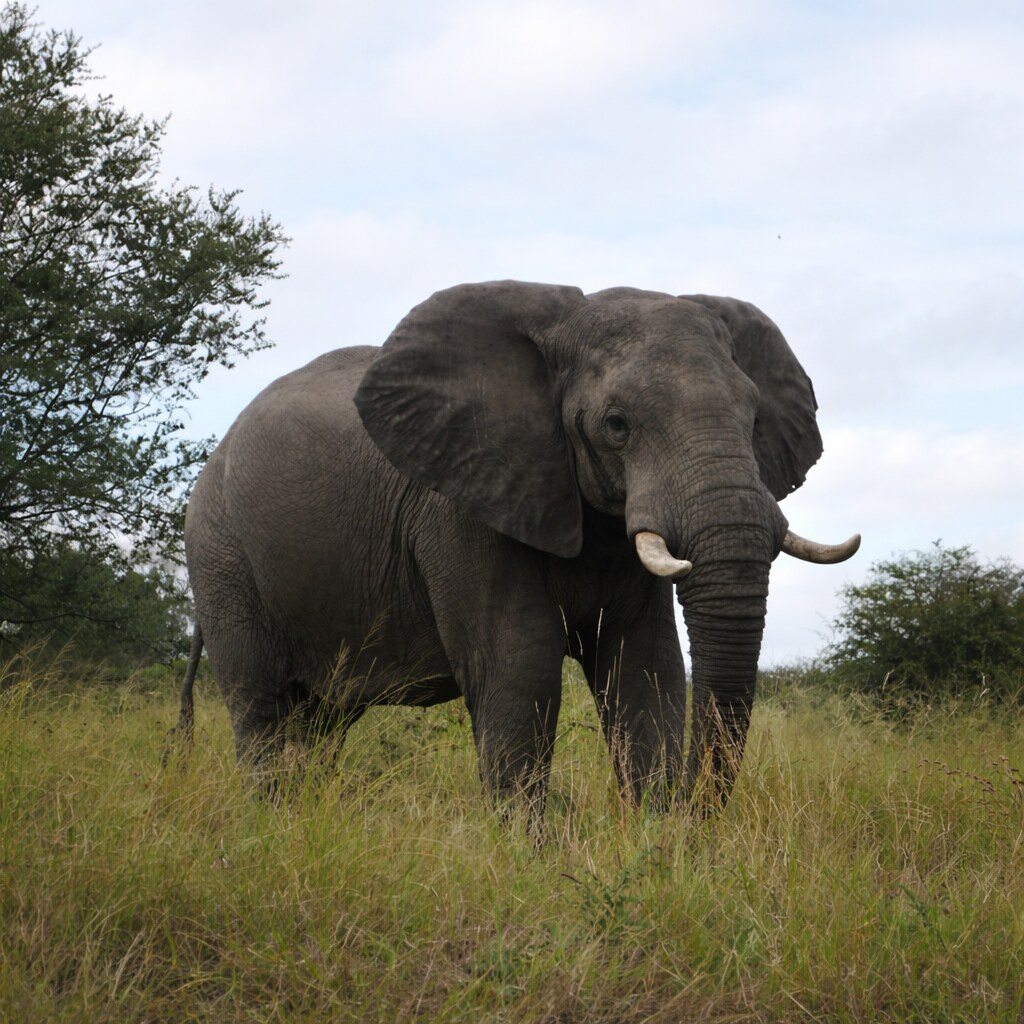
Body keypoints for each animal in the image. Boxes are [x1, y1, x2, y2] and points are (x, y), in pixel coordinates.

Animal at [176, 280, 858, 823]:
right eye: (616, 424)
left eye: (754, 420)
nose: (694, 816)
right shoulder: (463, 504)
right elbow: (518, 667)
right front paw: (530, 860)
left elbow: (644, 669)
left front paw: (657, 850)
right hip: (221, 555)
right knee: (264, 710)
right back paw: (274, 828)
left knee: (321, 723)